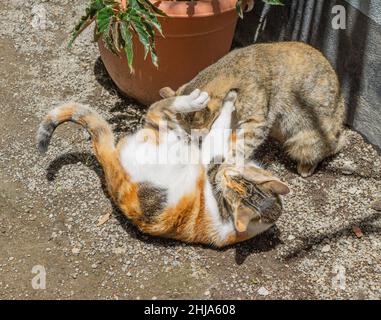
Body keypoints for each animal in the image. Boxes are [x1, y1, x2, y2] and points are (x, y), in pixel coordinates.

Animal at [37, 90, 288, 248]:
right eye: (233, 178)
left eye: (228, 185)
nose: (220, 175)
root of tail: (110, 161)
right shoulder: (223, 155)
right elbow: (226, 130)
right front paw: (232, 100)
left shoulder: (213, 157)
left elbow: (221, 130)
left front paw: (229, 101)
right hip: (176, 133)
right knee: (159, 107)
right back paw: (197, 100)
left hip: (164, 131)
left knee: (157, 108)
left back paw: (197, 100)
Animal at [159, 41, 346, 178]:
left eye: (197, 136)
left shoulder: (256, 121)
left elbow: (242, 146)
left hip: (305, 141)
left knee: (332, 147)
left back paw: (307, 166)